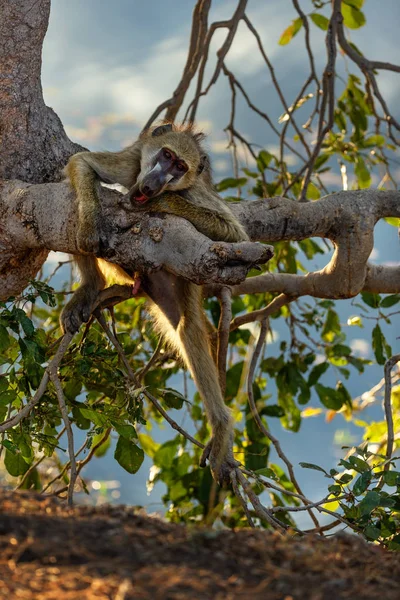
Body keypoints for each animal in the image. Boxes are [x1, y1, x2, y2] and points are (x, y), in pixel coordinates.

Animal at [61, 122, 268, 482]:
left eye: (180, 167)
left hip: (179, 284)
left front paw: (166, 201)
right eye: (166, 155)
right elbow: (81, 164)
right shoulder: (131, 163)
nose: (154, 183)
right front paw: (90, 224)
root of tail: (144, 285)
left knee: (187, 330)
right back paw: (92, 286)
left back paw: (221, 426)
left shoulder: (193, 192)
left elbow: (238, 237)